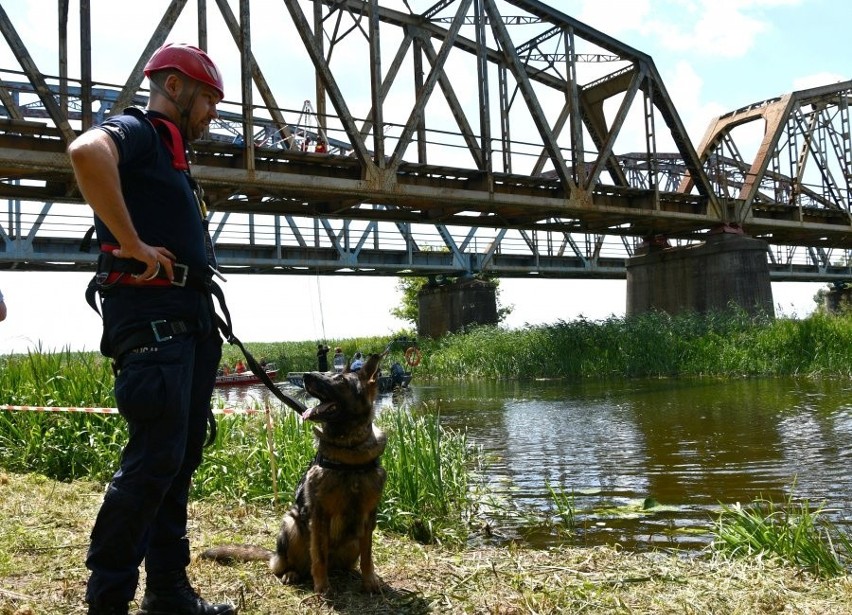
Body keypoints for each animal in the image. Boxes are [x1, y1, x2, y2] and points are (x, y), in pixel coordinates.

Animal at [200, 354, 386, 596]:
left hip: (350, 541)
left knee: (342, 563)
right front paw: (322, 587)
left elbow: (367, 555)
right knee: (285, 565)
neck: (349, 452)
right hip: (291, 526)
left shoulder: (368, 517)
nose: (306, 376)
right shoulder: (319, 515)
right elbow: (319, 557)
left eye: (340, 379)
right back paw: (291, 573)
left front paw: (370, 581)